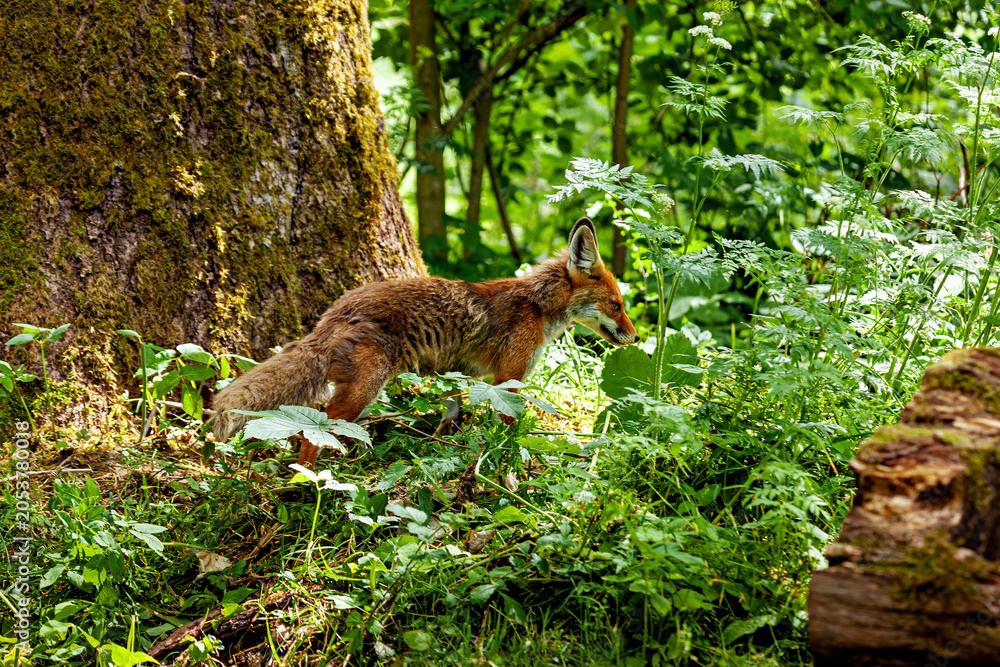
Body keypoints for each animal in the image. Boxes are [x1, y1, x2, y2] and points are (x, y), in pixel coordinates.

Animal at [210, 217, 638, 466]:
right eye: (617, 305)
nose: (635, 338)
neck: (537, 304)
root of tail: (336, 310)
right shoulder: (508, 379)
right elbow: (510, 428)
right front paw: (514, 459)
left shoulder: (466, 378)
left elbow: (453, 414)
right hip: (364, 389)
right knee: (316, 431)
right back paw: (313, 479)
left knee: (308, 427)